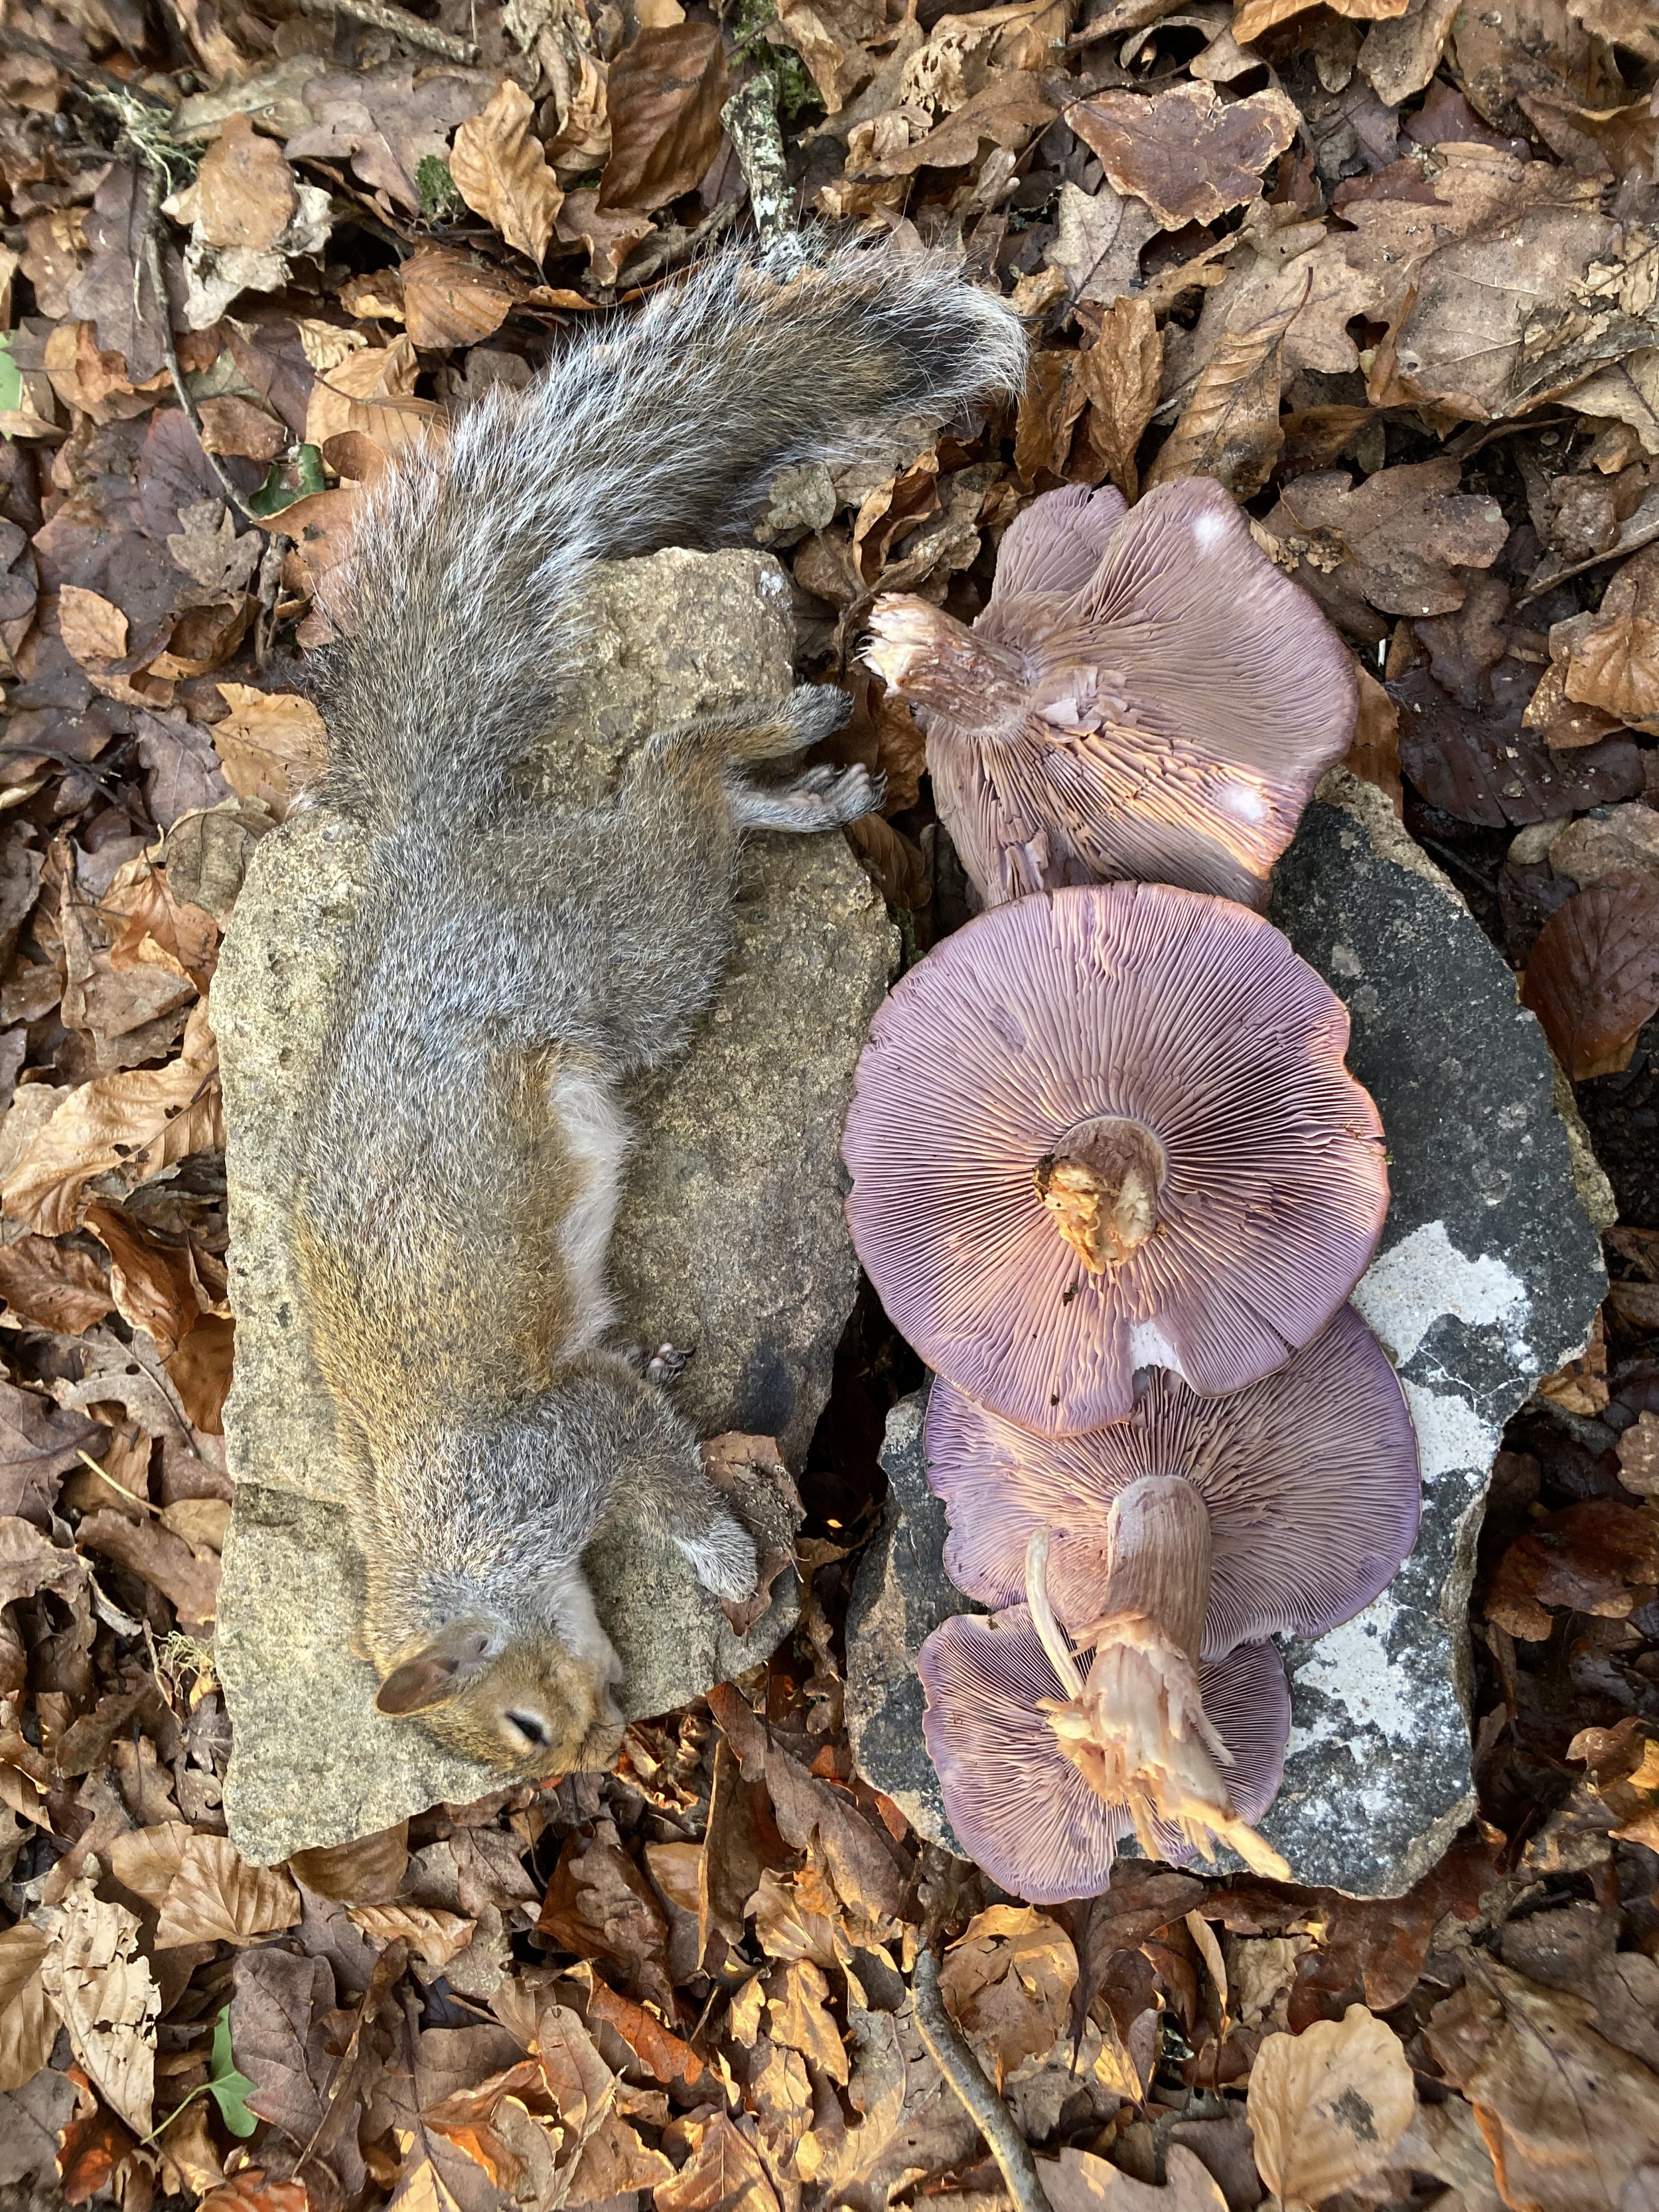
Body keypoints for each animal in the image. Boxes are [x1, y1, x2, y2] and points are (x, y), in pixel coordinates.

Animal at [286, 243, 1027, 1778]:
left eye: (517, 1716)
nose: (595, 1745)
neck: (454, 1533)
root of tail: (432, 857)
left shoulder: (567, 1433)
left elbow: (664, 1468)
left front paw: (719, 1555)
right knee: (695, 800)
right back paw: (797, 790)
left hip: (625, 946)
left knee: (676, 769)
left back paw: (785, 728)